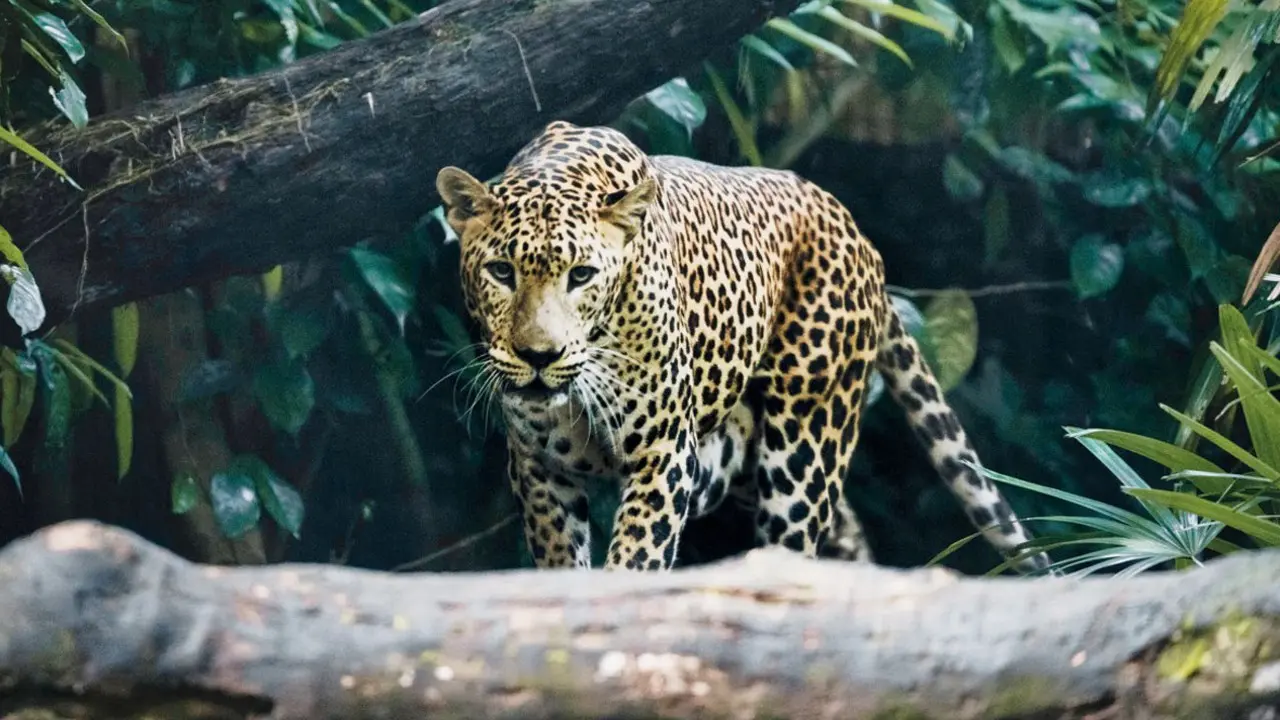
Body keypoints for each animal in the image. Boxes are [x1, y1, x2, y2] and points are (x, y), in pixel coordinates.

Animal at [435, 120, 1049, 573]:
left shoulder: (663, 454)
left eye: (582, 276)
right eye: (501, 272)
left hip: (803, 453)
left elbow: (636, 559)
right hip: (742, 459)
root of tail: (855, 231)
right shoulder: (538, 467)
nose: (539, 356)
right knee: (846, 534)